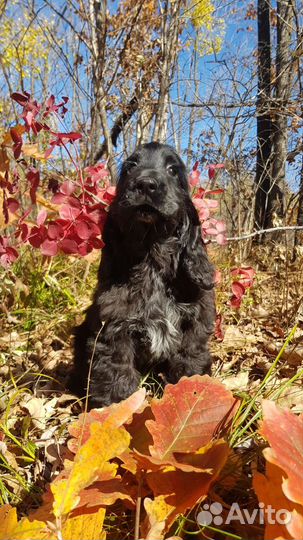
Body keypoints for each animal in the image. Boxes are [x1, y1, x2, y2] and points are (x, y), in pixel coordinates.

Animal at [72, 141, 216, 408]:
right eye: (130, 167)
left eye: (172, 170)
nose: (147, 184)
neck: (152, 255)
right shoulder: (114, 329)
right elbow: (116, 375)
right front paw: (118, 412)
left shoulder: (194, 325)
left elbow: (190, 362)